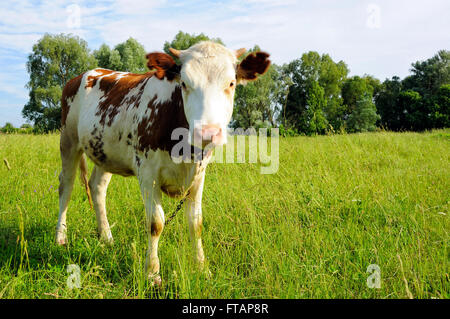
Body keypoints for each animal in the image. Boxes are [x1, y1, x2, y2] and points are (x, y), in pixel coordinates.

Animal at [54, 41, 268, 284]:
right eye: (184, 83)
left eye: (231, 83)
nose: (207, 132)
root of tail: (86, 73)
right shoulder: (147, 173)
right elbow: (155, 222)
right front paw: (152, 273)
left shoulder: (199, 175)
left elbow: (196, 222)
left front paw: (202, 268)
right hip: (68, 140)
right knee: (66, 186)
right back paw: (61, 237)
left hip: (104, 151)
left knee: (97, 187)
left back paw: (106, 237)